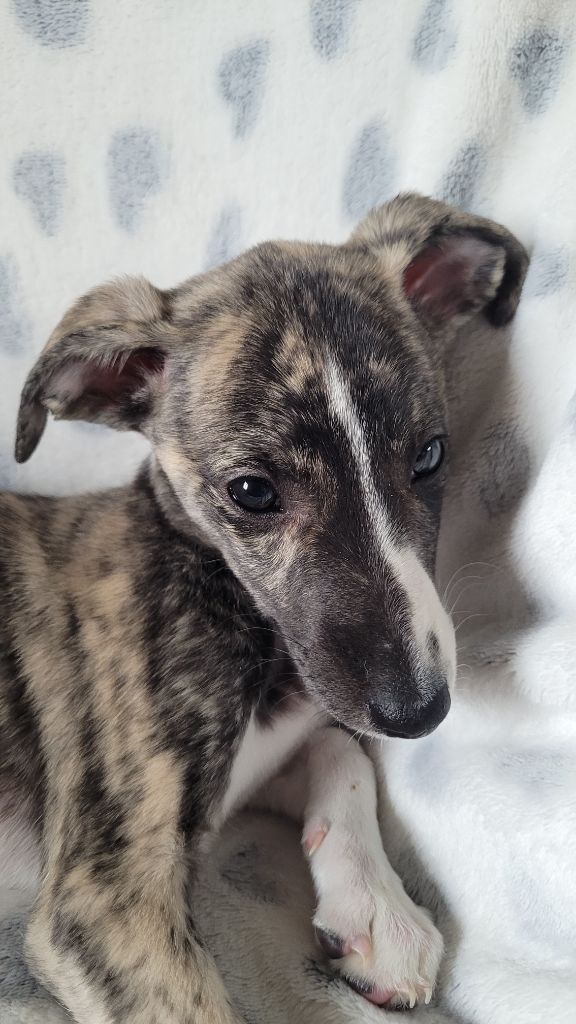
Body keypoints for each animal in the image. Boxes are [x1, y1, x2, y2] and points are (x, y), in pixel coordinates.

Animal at [0, 193, 528, 1023]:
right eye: (251, 492)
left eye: (430, 455)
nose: (418, 712)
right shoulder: (104, 895)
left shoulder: (257, 760)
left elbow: (342, 748)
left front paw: (378, 911)